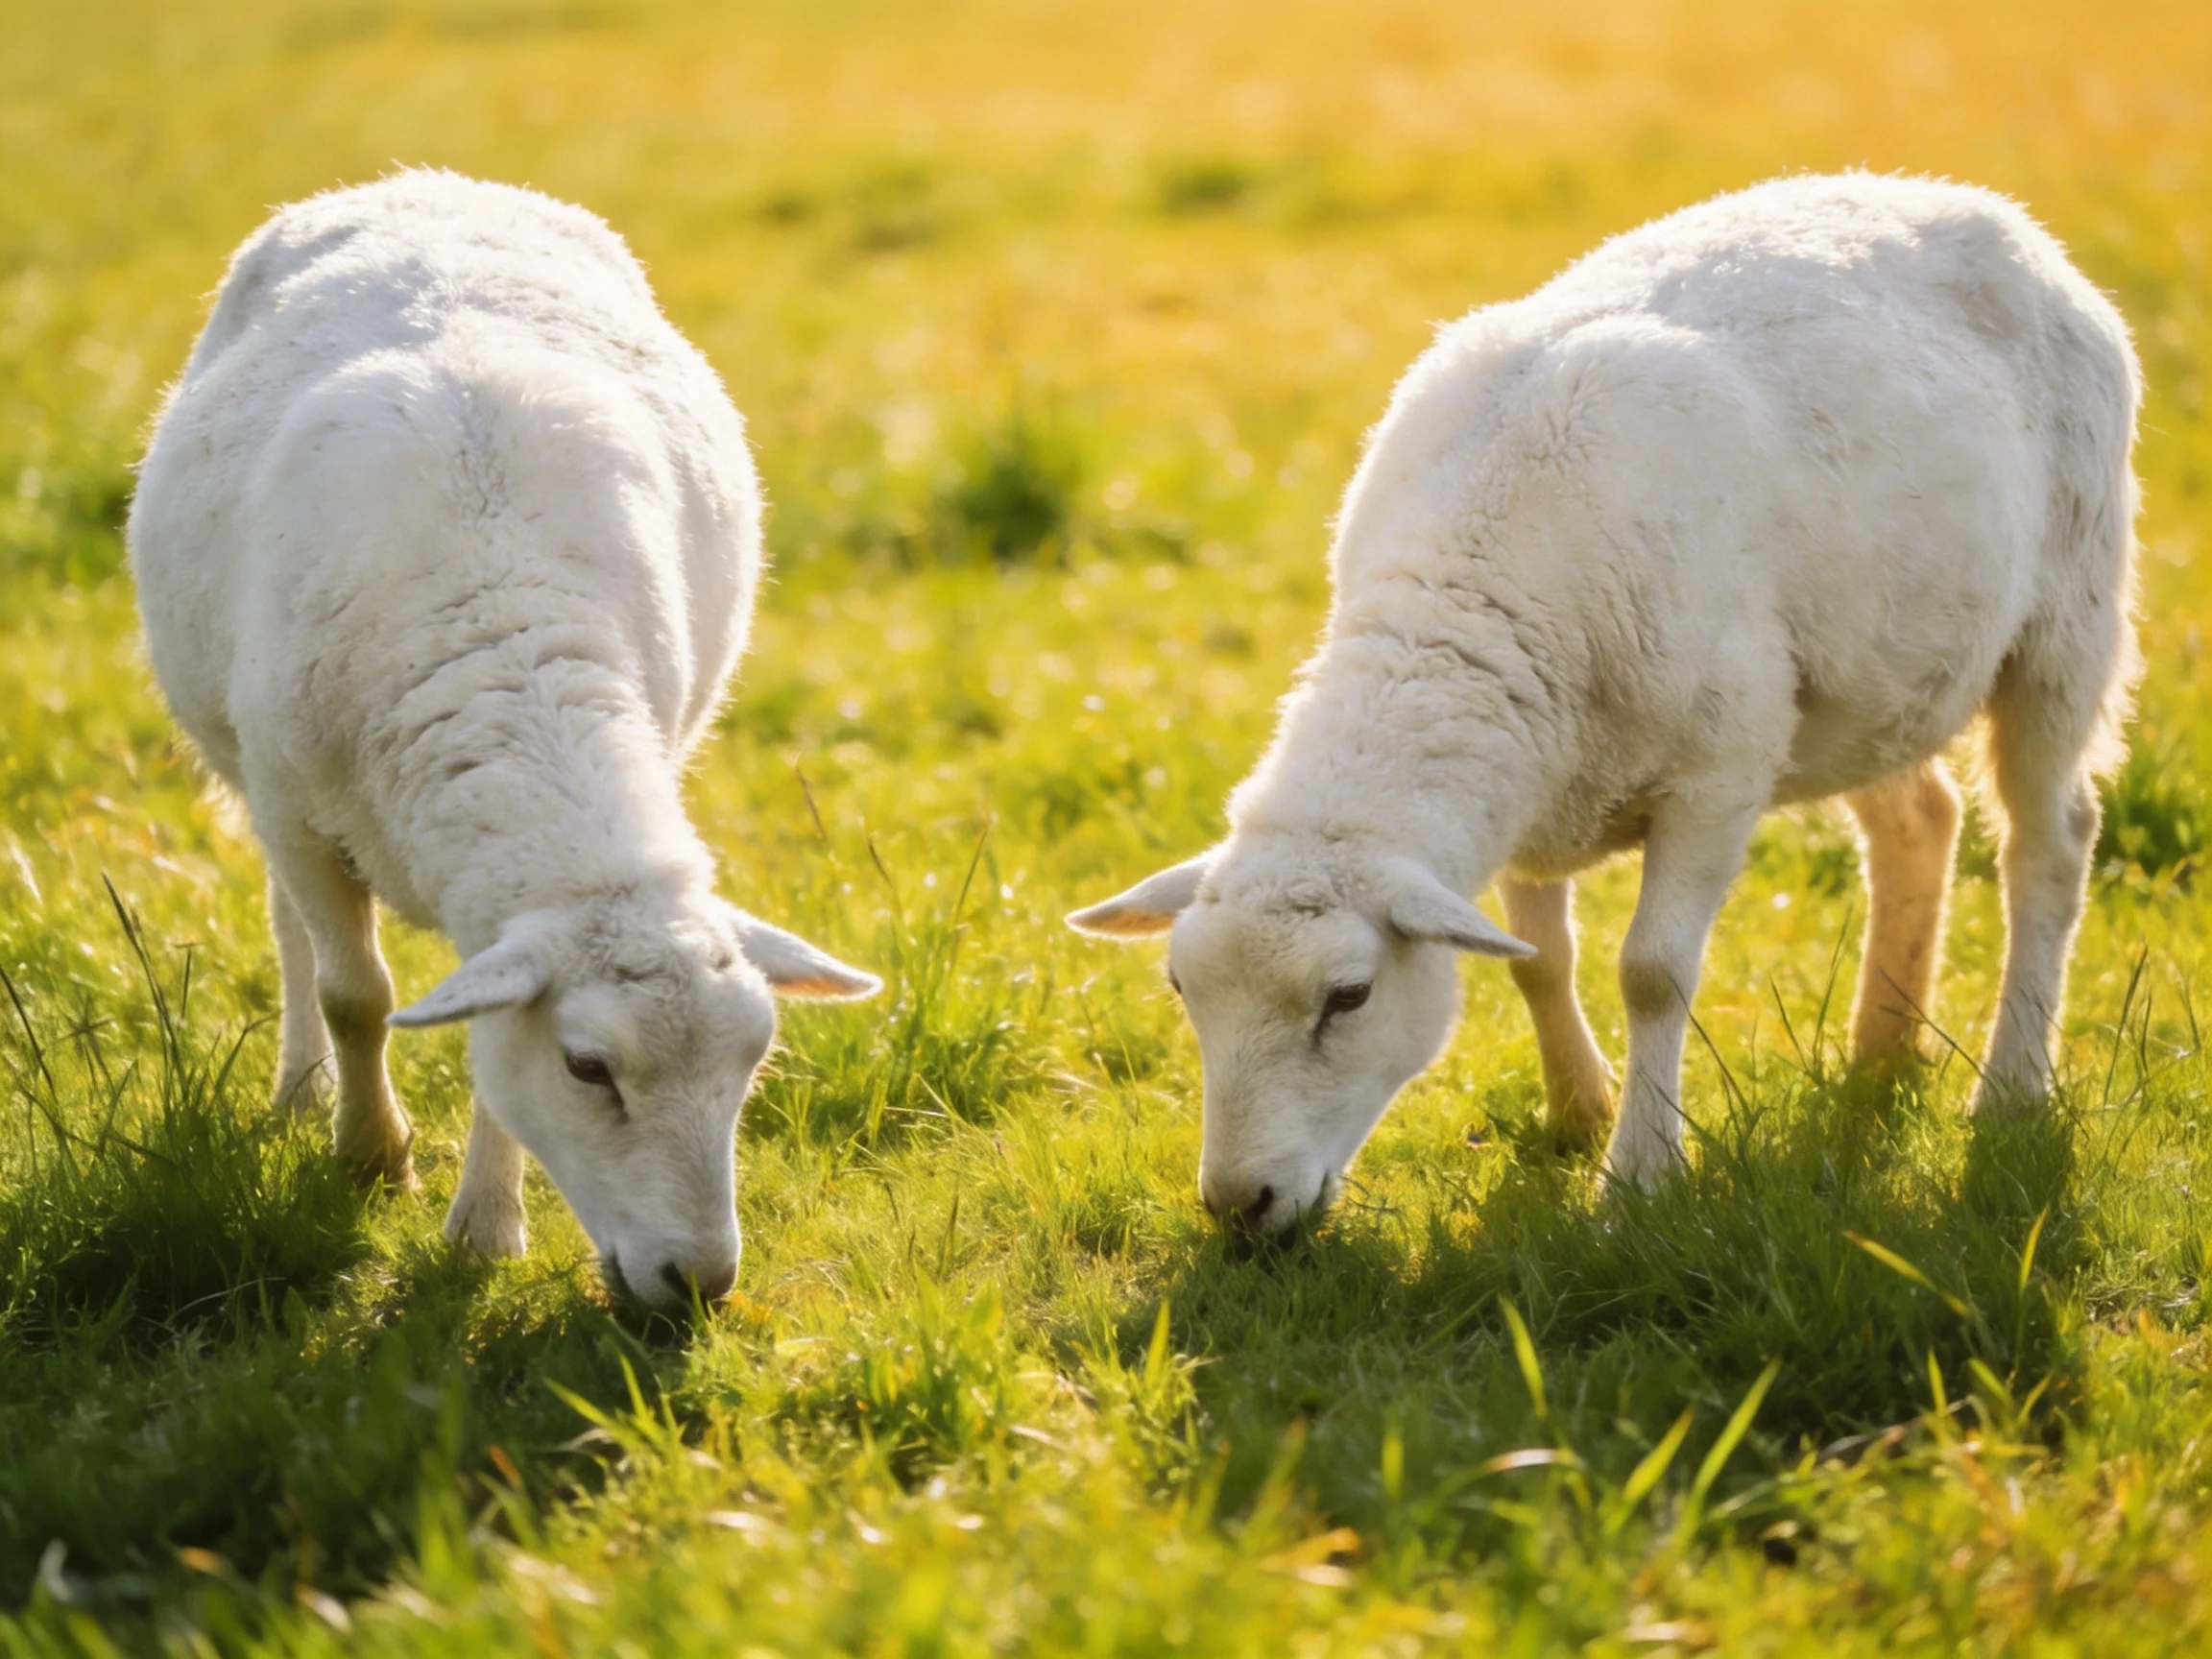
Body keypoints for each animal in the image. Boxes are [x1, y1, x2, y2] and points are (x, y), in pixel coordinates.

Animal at [129, 171, 880, 1306]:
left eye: (752, 1064)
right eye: (589, 1068)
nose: (700, 1282)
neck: (508, 648)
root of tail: (418, 179)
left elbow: (482, 1043)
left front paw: (484, 1229)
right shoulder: (299, 810)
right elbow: (356, 996)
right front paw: (370, 1159)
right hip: (251, 769)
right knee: (291, 935)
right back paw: (301, 1092)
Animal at [1071, 173, 2140, 1235]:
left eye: (1348, 996)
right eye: (1181, 987)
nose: (1238, 1206)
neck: (1466, 601)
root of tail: (1972, 204)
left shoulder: (1720, 770)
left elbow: (1653, 974)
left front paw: (1637, 1178)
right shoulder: (1533, 779)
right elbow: (1537, 959)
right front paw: (1577, 1114)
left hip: (2065, 617)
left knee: (2050, 844)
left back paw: (2009, 1090)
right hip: (1862, 682)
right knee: (1920, 818)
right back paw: (1881, 1051)